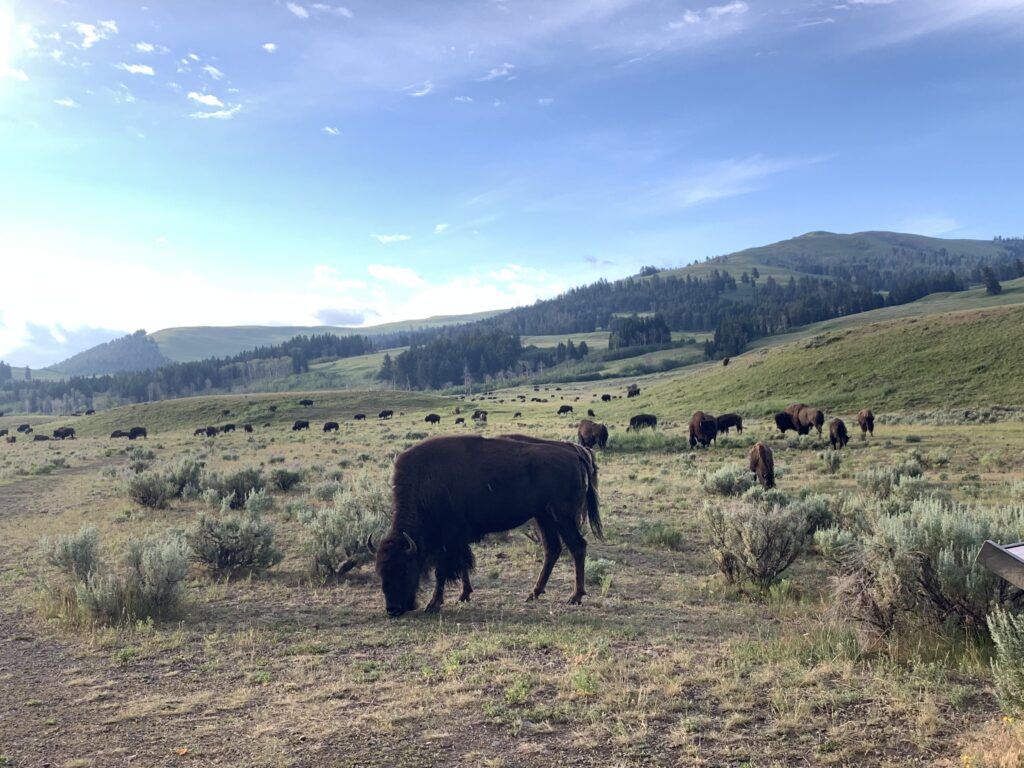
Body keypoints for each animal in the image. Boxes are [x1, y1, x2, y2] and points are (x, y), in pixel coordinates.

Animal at [372, 436, 598, 618]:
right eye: (380, 572)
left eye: (404, 569)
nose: (392, 609)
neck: (425, 482)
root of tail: (573, 452)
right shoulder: (457, 540)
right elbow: (463, 565)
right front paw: (464, 595)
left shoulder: (449, 539)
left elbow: (442, 571)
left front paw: (433, 604)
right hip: (544, 517)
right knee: (553, 549)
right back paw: (533, 593)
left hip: (562, 517)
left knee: (577, 546)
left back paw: (575, 597)